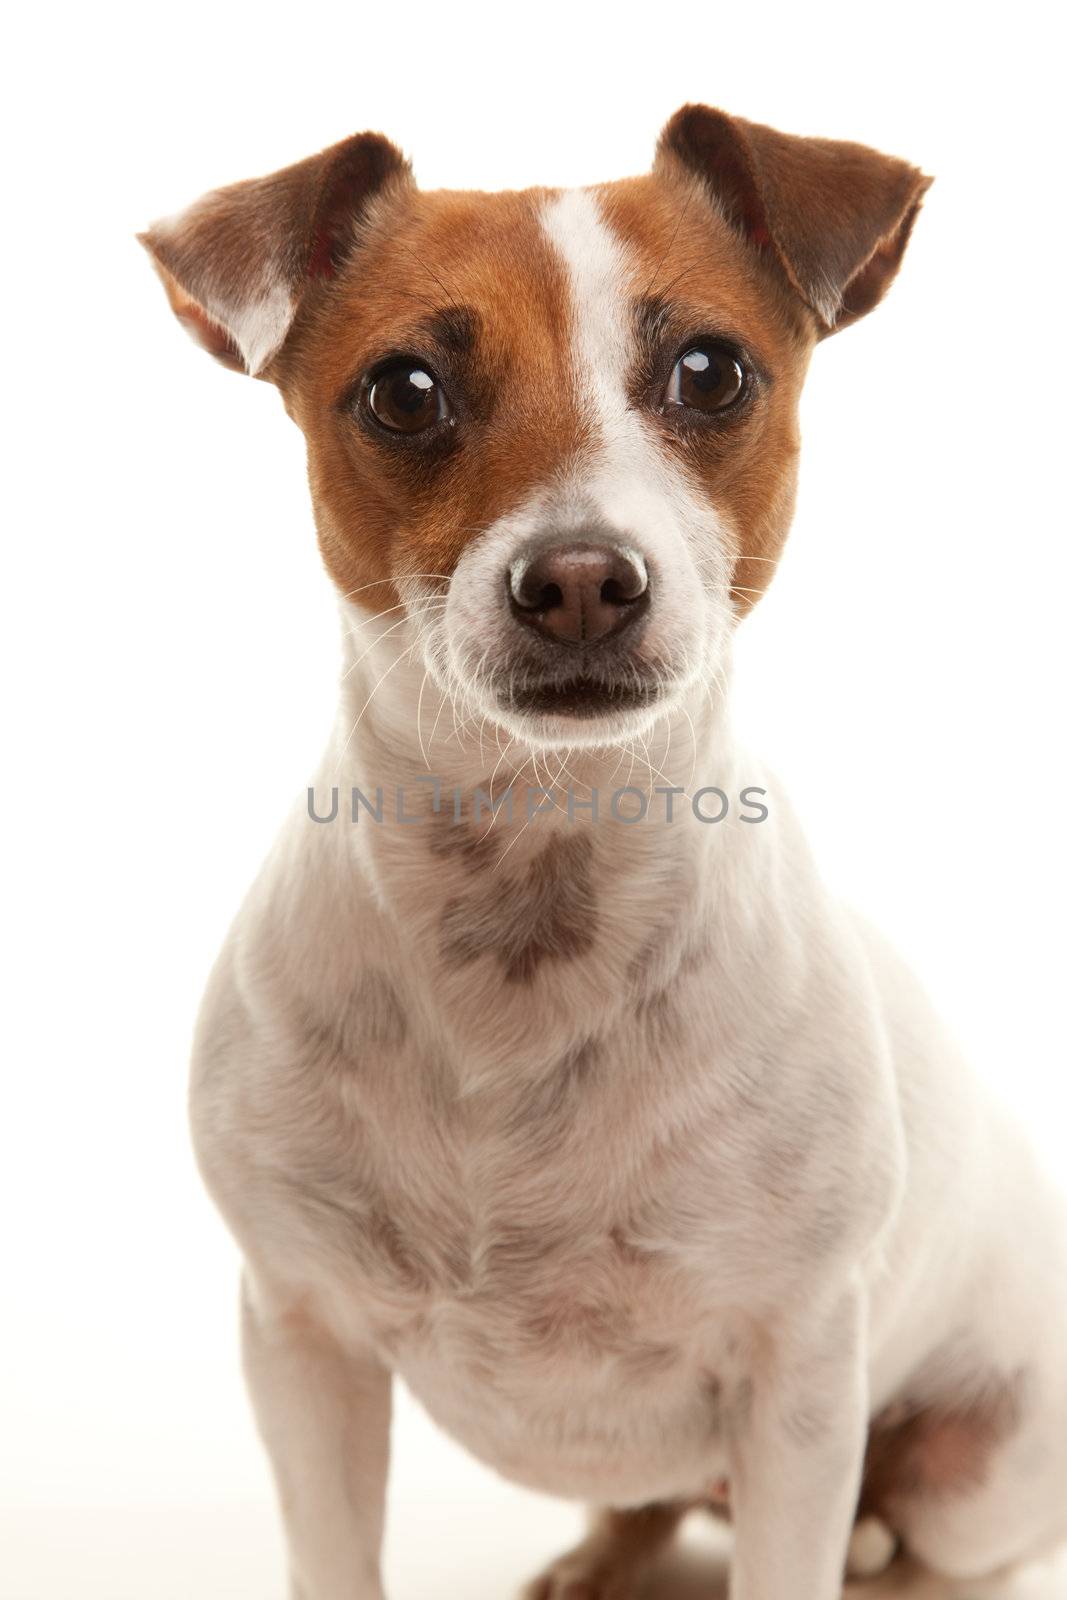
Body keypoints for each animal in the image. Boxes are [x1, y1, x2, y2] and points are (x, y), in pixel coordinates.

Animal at [141, 106, 1067, 1593]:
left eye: (710, 371)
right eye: (403, 392)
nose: (578, 578)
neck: (530, 893)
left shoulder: (799, 1387)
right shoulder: (300, 1344)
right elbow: (335, 1551)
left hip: (975, 1467)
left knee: (924, 1551)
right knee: (644, 1501)